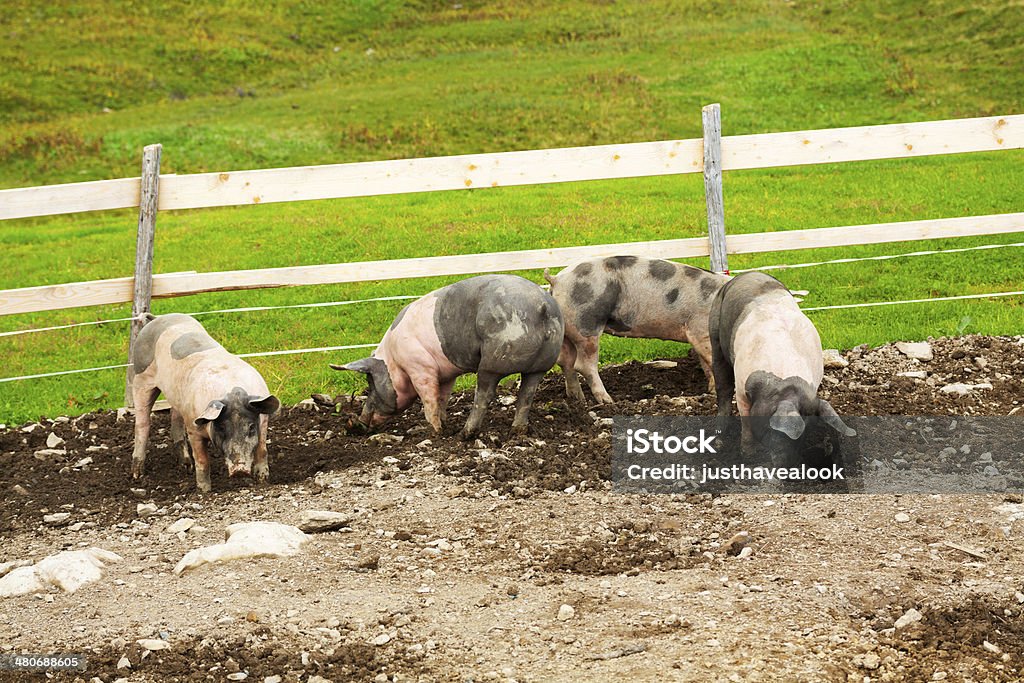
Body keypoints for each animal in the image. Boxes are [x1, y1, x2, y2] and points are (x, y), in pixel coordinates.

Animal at [128, 315, 280, 491]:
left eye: (251, 427)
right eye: (222, 427)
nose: (239, 470)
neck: (232, 392)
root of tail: (156, 319)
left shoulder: (263, 421)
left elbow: (262, 450)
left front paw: (263, 481)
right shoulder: (193, 428)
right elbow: (202, 461)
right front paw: (204, 491)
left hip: (176, 396)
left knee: (175, 418)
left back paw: (186, 467)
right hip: (140, 378)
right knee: (142, 423)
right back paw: (137, 474)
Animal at [331, 274, 565, 440]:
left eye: (370, 384)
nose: (354, 425)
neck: (394, 360)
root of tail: (542, 307)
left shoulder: (420, 367)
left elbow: (429, 400)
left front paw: (433, 432)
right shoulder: (446, 374)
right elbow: (442, 397)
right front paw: (444, 425)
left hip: (494, 358)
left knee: (485, 395)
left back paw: (464, 434)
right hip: (542, 363)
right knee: (527, 394)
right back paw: (517, 432)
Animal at [544, 255, 729, 405]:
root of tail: (557, 280)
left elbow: (706, 364)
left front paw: (711, 390)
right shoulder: (700, 329)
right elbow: (712, 361)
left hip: (567, 330)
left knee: (566, 361)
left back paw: (578, 399)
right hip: (587, 324)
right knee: (584, 365)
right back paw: (608, 401)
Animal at [704, 270, 856, 456]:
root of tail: (746, 274)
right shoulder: (741, 388)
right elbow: (746, 422)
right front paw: (747, 453)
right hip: (715, 332)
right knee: (723, 386)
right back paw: (719, 435)